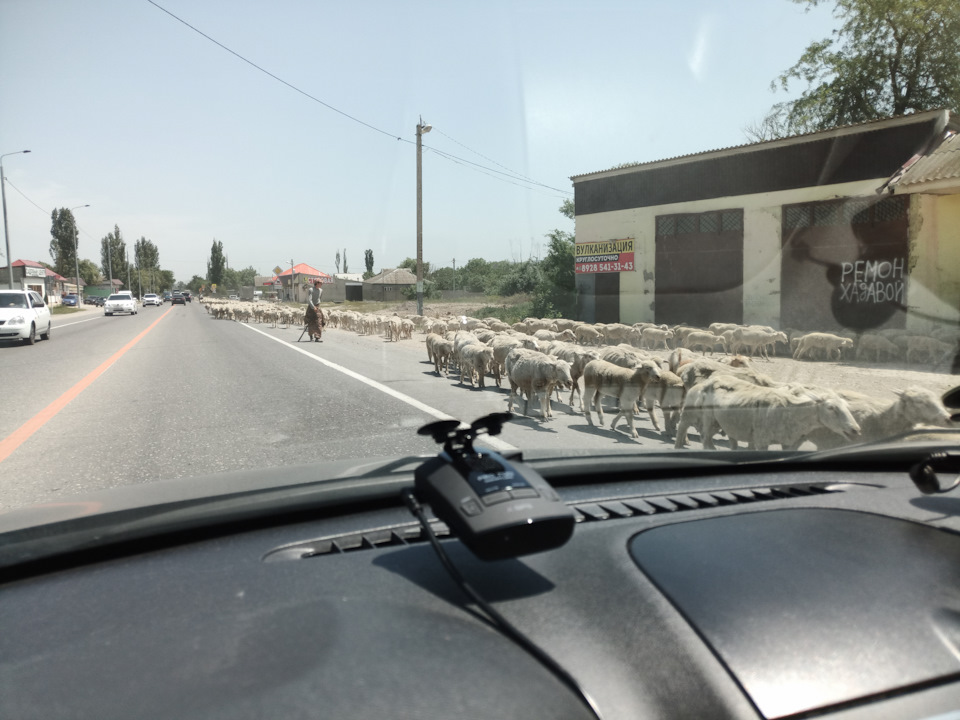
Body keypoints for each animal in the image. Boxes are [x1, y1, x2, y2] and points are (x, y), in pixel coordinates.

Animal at [676, 374, 864, 448]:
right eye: (831, 408)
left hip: (723, 423)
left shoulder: (788, 442)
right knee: (699, 436)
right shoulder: (761, 440)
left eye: (847, 407)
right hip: (705, 418)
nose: (856, 430)